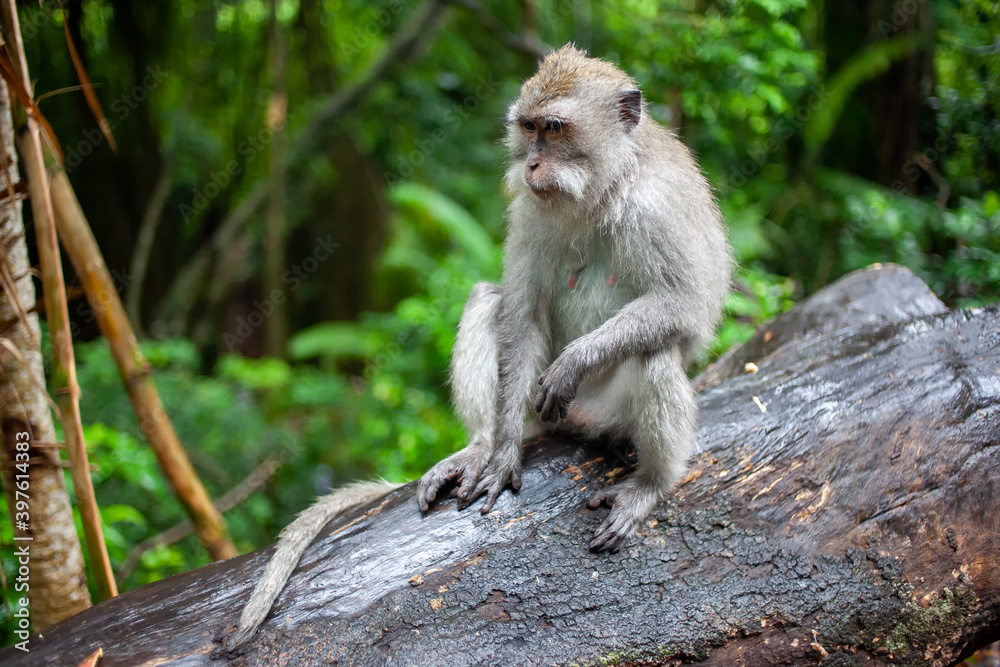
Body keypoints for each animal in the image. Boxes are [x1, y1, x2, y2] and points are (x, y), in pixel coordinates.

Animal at [416, 45, 731, 552]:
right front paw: (503, 453)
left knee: (655, 354)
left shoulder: (655, 208)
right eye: (529, 127)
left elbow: (685, 305)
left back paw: (649, 485)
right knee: (487, 300)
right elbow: (522, 314)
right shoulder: (529, 211)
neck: (601, 189)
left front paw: (574, 361)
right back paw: (481, 444)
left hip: (605, 411)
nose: (531, 165)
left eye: (555, 127)